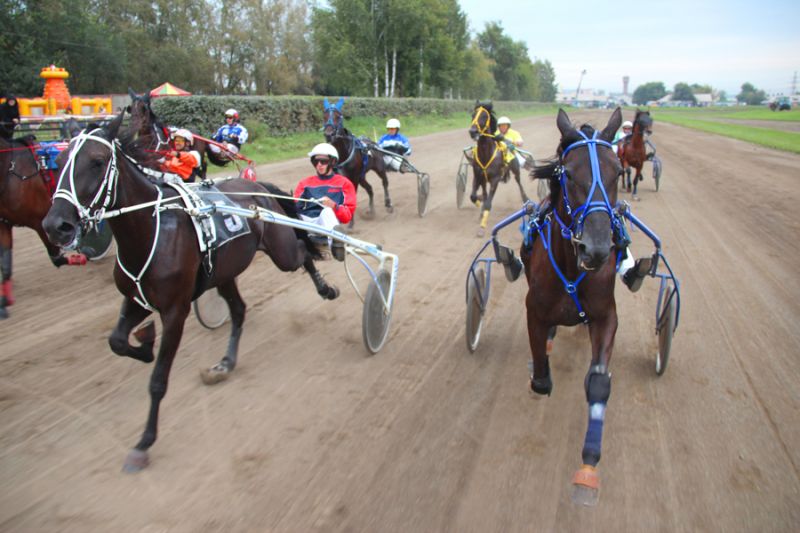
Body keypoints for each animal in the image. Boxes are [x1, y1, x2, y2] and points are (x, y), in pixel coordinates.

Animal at [0, 136, 86, 319]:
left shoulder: (40, 221)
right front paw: (4, 302)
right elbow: (5, 264)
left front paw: (81, 256)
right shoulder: (4, 223)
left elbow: (56, 258)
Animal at [42, 112, 341, 471]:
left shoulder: (175, 311)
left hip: (280, 250)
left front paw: (144, 442)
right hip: (225, 272)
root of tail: (257, 187)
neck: (149, 231)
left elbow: (158, 380)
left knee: (302, 251)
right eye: (59, 161)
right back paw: (225, 363)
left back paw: (326, 287)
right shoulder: (136, 298)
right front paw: (146, 345)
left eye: (97, 162)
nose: (56, 225)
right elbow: (117, 341)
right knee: (239, 310)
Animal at [468, 101, 529, 236]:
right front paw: (480, 202)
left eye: (484, 116)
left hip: (515, 169)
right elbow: (474, 196)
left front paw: (482, 227)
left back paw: (526, 199)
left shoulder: (495, 179)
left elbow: (488, 204)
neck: (486, 154)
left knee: (520, 183)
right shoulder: (478, 176)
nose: (473, 131)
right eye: (473, 115)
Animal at [525, 107, 625, 505]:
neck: (572, 266)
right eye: (568, 173)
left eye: (618, 171)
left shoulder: (606, 316)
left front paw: (589, 465)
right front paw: (541, 371)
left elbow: (598, 383)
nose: (596, 248)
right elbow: (540, 379)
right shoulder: (534, 310)